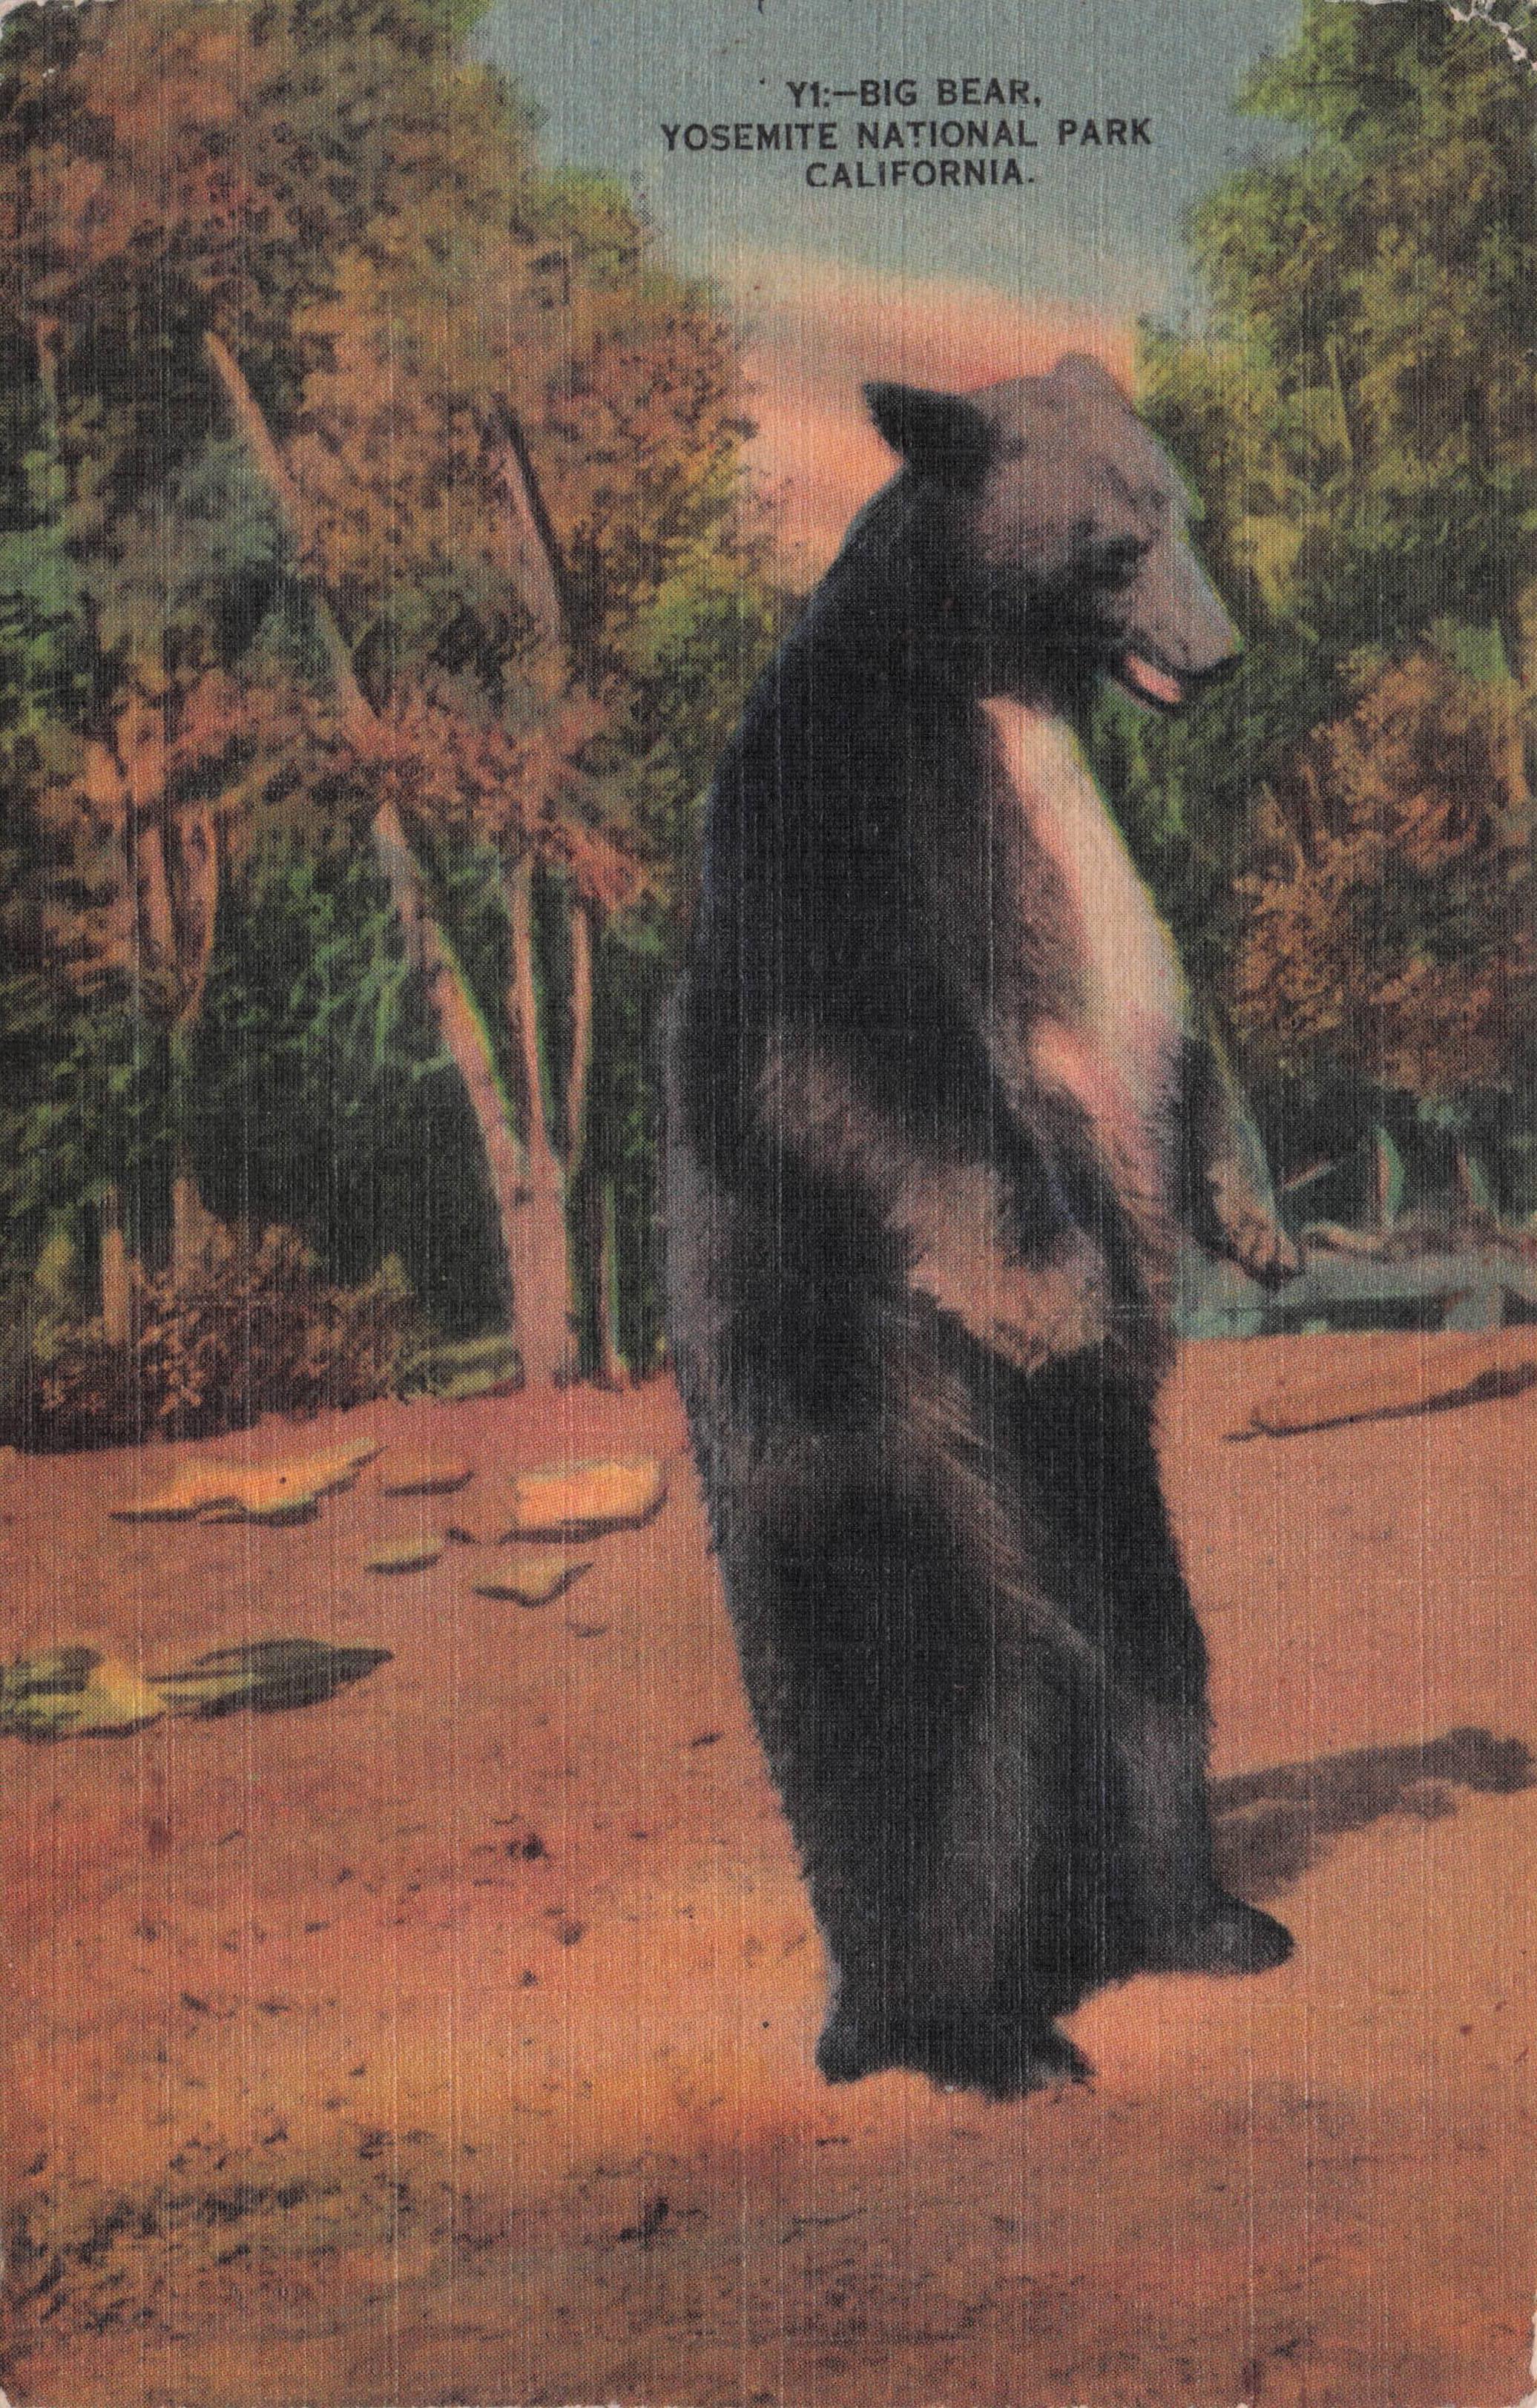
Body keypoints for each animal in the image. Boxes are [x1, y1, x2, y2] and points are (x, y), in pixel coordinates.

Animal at [662, 351, 1297, 2100]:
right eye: (1111, 545)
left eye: (1181, 509)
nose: (1219, 655)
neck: (1003, 682)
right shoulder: (849, 789)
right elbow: (873, 1040)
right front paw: (1060, 1289)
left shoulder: (1095, 841)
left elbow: (1186, 1028)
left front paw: (1256, 1221)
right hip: (876, 1439)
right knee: (931, 1711)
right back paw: (970, 2030)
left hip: (1107, 1512)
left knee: (1152, 1682)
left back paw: (1194, 1921)